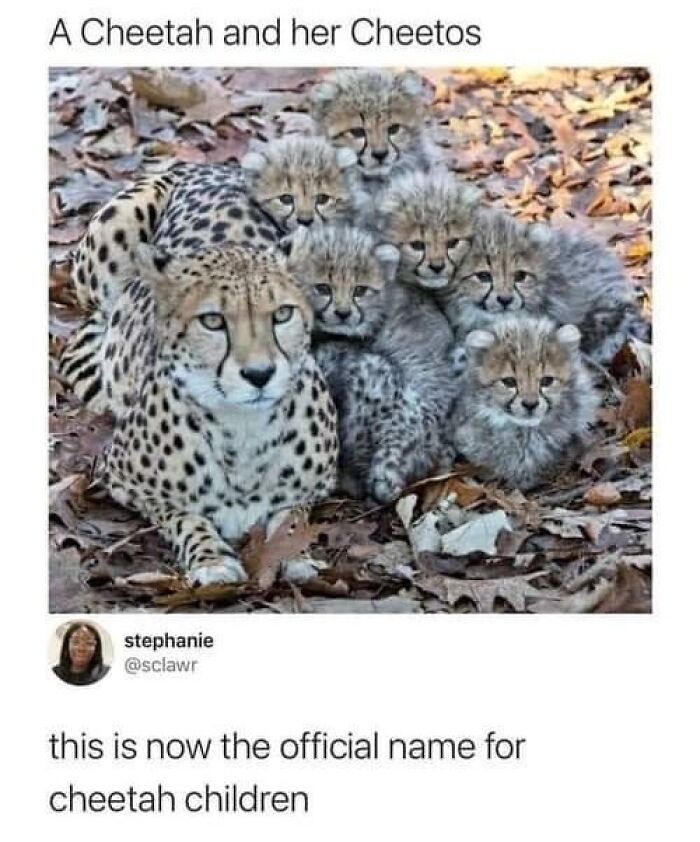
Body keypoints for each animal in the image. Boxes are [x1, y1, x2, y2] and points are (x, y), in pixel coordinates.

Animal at [80, 244, 338, 586]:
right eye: (213, 321)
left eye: (283, 314)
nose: (259, 374)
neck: (244, 427)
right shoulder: (120, 479)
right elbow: (185, 516)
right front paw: (212, 560)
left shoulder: (314, 489)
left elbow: (292, 519)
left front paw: (294, 553)